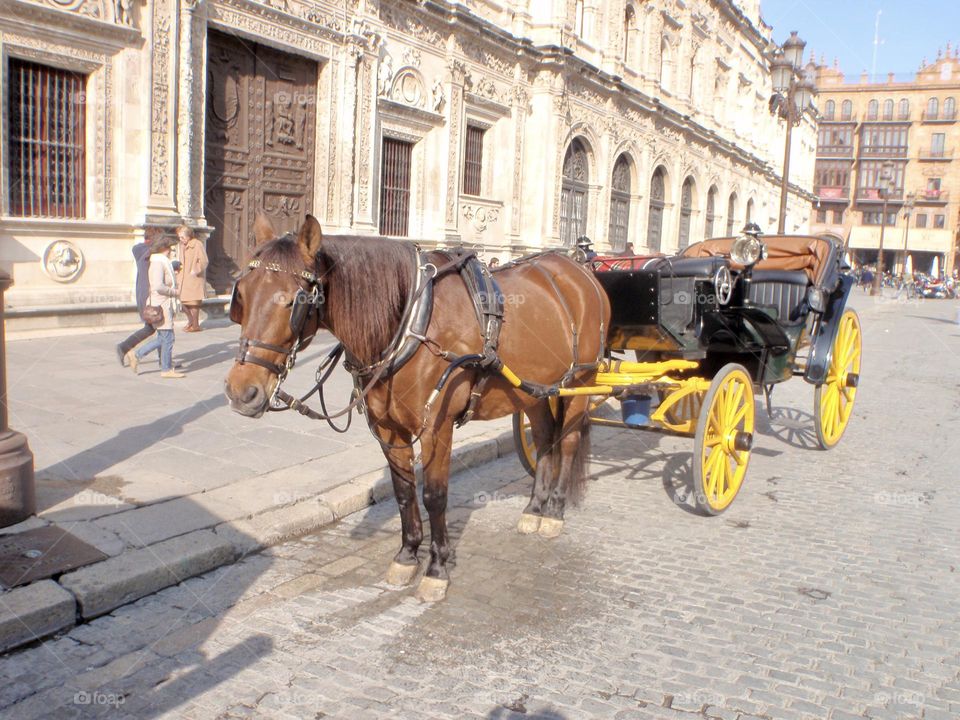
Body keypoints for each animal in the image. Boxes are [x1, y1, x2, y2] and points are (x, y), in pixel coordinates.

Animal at [225, 214, 610, 601]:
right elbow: (403, 491)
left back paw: (555, 511)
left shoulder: (436, 426)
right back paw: (534, 508)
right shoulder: (388, 427)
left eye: (296, 300)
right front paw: (408, 555)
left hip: (580, 380)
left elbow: (434, 495)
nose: (241, 392)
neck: (411, 323)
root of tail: (578, 270)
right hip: (533, 390)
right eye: (241, 296)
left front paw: (437, 567)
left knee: (569, 441)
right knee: (544, 437)